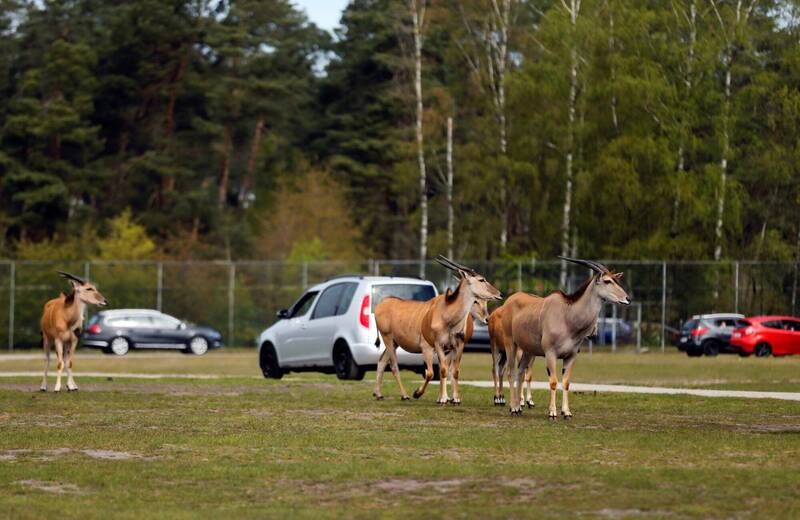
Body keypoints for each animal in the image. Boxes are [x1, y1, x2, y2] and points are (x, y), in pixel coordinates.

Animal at [374, 255, 500, 402]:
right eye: (481, 279)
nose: (499, 293)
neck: (447, 315)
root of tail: (382, 303)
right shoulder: (431, 346)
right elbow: (433, 372)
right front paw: (423, 394)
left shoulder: (455, 347)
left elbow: (452, 370)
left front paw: (453, 398)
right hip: (387, 338)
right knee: (394, 366)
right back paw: (404, 395)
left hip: (394, 343)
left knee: (382, 361)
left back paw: (378, 393)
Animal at [504, 258, 628, 420]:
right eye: (607, 281)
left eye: (616, 280)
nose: (627, 299)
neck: (567, 316)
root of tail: (509, 301)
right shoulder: (550, 354)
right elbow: (553, 382)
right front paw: (552, 413)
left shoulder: (571, 356)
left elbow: (566, 382)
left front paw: (566, 412)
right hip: (511, 345)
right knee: (511, 372)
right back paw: (513, 408)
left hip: (528, 351)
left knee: (520, 373)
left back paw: (519, 407)